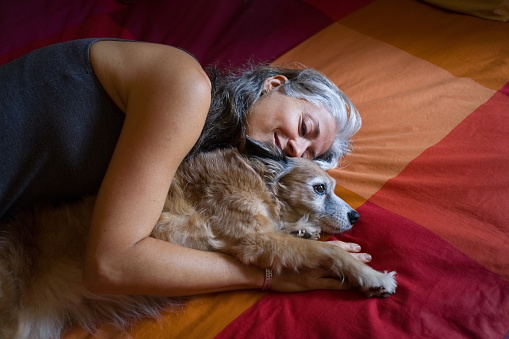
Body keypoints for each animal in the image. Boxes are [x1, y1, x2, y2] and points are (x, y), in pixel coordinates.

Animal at [0, 138, 396, 339]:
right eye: (319, 188)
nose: (357, 216)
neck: (260, 183)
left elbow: (302, 238)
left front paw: (305, 228)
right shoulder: (255, 241)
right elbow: (327, 252)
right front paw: (372, 276)